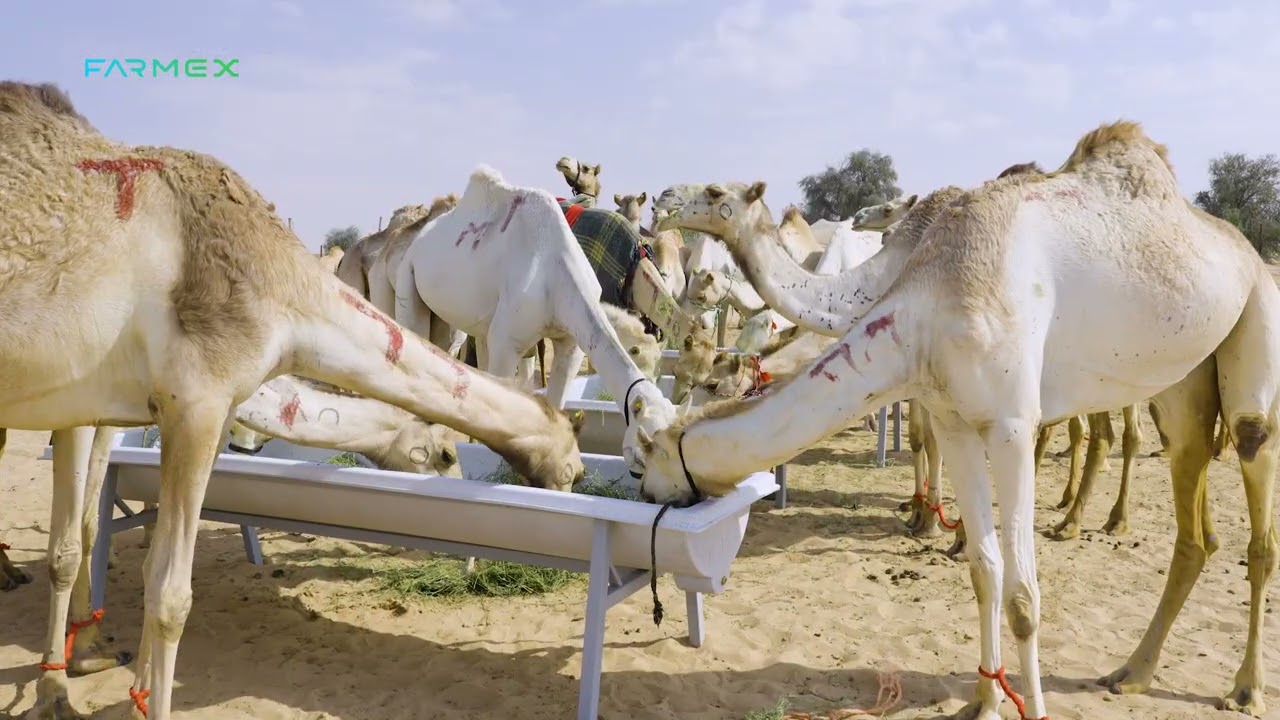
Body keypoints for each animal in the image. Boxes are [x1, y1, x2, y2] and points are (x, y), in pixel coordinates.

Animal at [0, 81, 588, 720]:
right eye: (444, 455)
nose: (573, 480)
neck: (282, 296)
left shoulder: (166, 410)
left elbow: (112, 554)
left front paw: (87, 674)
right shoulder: (194, 401)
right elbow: (164, 592)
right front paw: (73, 676)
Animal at [643, 121, 1280, 719]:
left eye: (716, 191)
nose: (661, 199)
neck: (928, 300)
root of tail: (1249, 252)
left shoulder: (1012, 423)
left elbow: (1024, 598)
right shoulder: (952, 413)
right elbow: (983, 569)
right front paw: (984, 697)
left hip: (1254, 325)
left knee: (1249, 475)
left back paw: (1243, 686)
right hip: (1180, 383)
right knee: (1193, 516)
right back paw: (1133, 669)